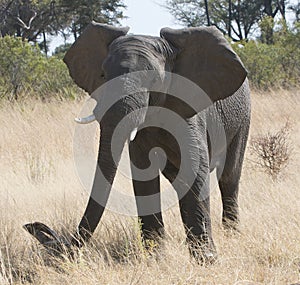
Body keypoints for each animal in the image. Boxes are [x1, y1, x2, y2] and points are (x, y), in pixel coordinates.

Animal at [25, 21, 251, 262]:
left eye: (153, 80)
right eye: (103, 75)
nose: (34, 226)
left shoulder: (190, 113)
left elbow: (194, 169)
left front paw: (206, 260)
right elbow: (143, 175)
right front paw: (156, 257)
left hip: (243, 118)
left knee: (229, 176)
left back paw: (232, 232)